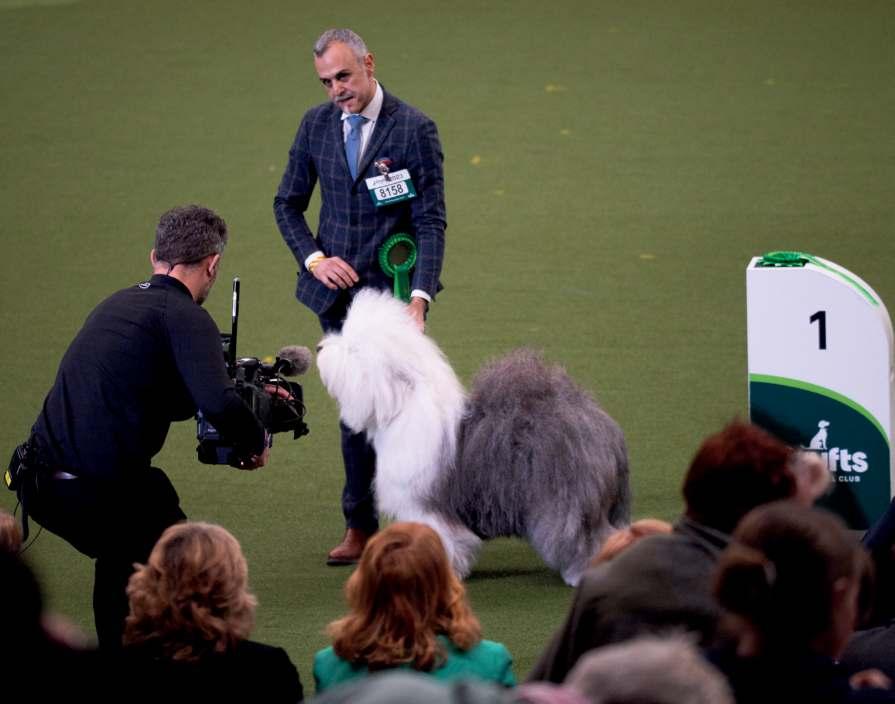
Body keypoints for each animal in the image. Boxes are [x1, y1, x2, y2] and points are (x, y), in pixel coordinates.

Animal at [316, 289, 630, 585]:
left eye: (354, 349)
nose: (319, 347)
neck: (402, 407)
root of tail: (599, 421)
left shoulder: (425, 506)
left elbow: (441, 538)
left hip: (565, 500)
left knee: (585, 536)